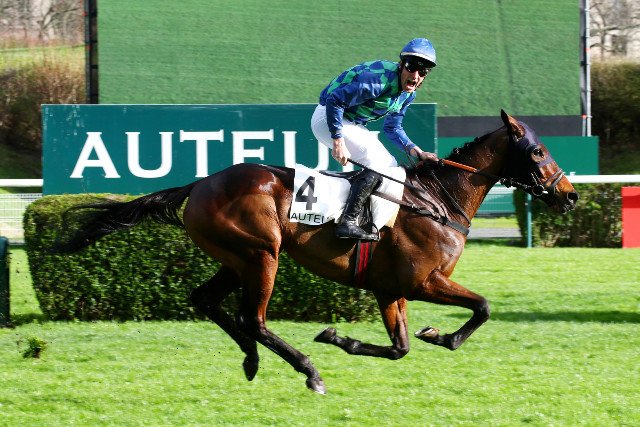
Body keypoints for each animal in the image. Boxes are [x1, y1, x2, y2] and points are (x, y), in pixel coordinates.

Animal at [54, 110, 578, 394]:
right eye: (537, 152)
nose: (570, 195)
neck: (437, 200)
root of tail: (200, 183)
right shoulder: (421, 281)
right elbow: (482, 307)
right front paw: (441, 334)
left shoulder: (390, 289)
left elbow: (399, 348)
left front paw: (340, 337)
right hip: (262, 254)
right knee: (252, 318)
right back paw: (307, 370)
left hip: (235, 258)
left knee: (207, 301)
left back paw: (251, 360)